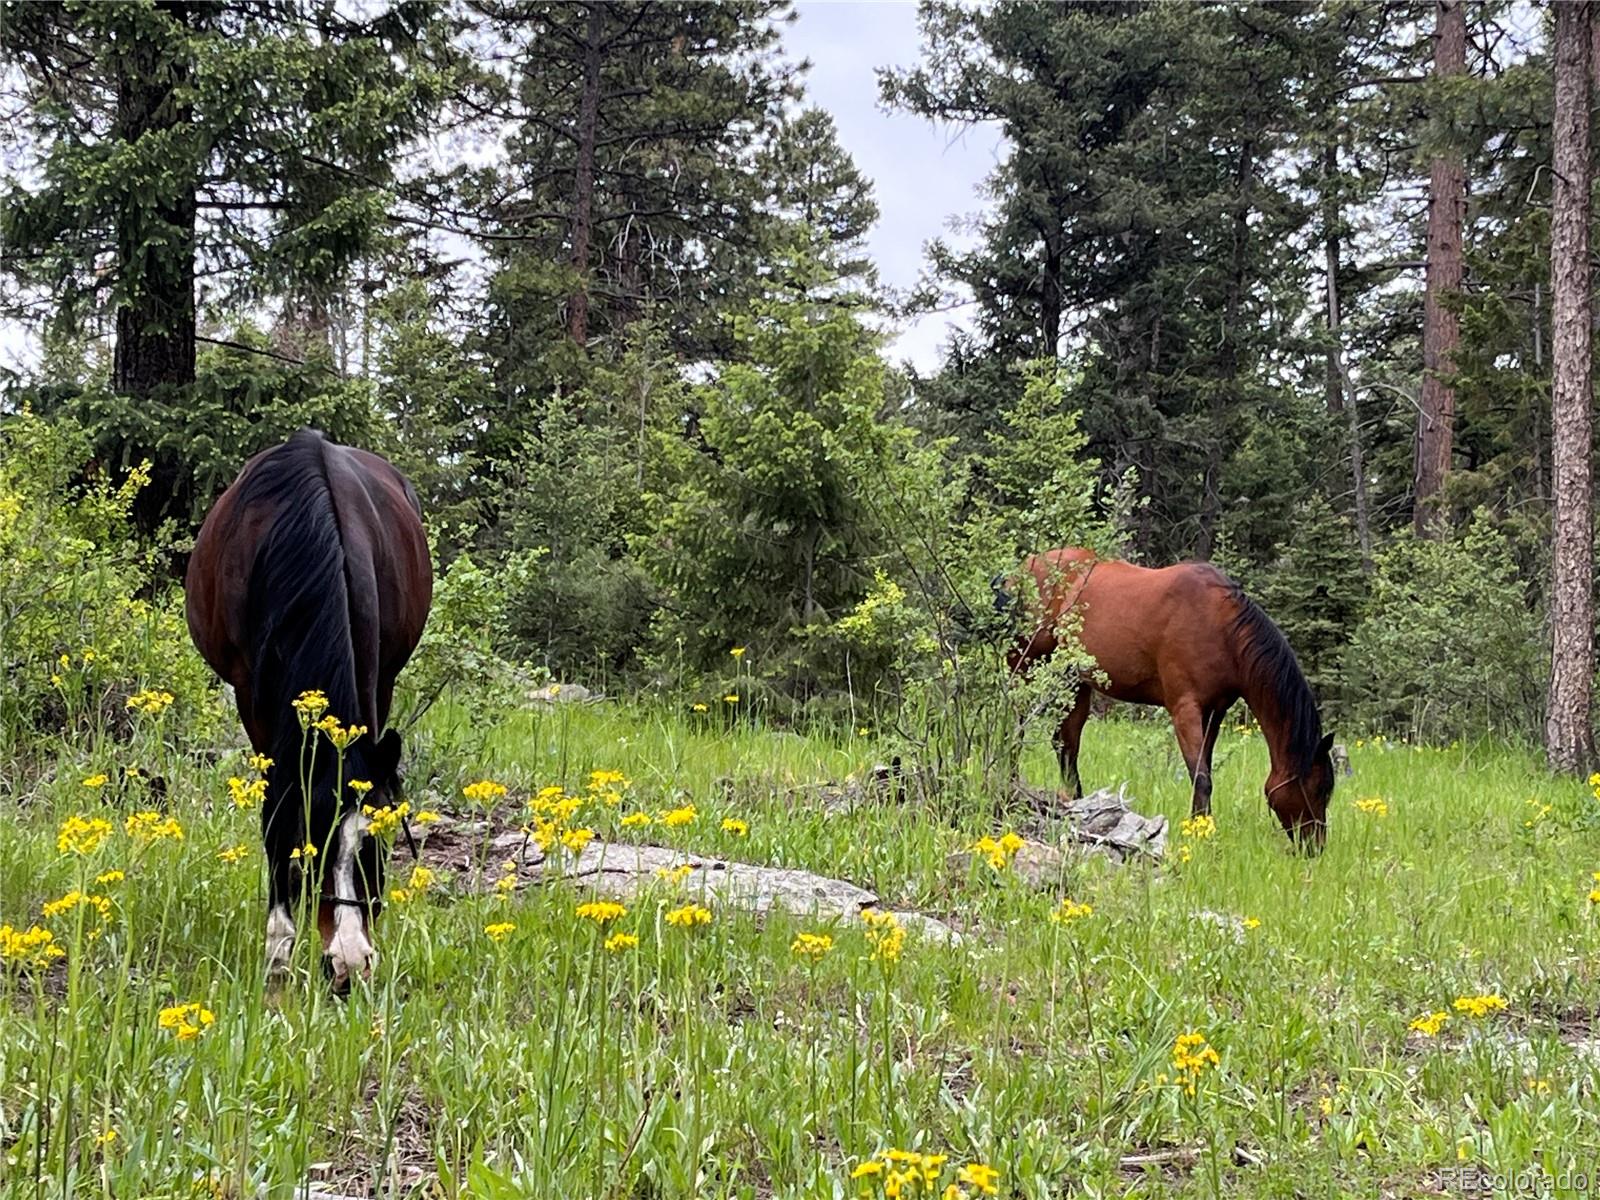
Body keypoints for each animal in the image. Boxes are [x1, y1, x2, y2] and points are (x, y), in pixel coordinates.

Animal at [184, 428, 432, 992]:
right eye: (309, 847)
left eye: (375, 847)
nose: (349, 964)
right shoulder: (251, 697)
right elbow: (275, 811)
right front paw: (278, 948)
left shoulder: (376, 675)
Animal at [1011, 550, 1337, 851]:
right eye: (1318, 789)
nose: (1316, 847)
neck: (1220, 628)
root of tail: (1026, 566)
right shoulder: (1185, 709)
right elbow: (1201, 776)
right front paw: (1203, 834)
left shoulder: (1215, 712)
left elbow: (1204, 769)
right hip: (1025, 664)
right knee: (1017, 725)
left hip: (1076, 679)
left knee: (1066, 743)